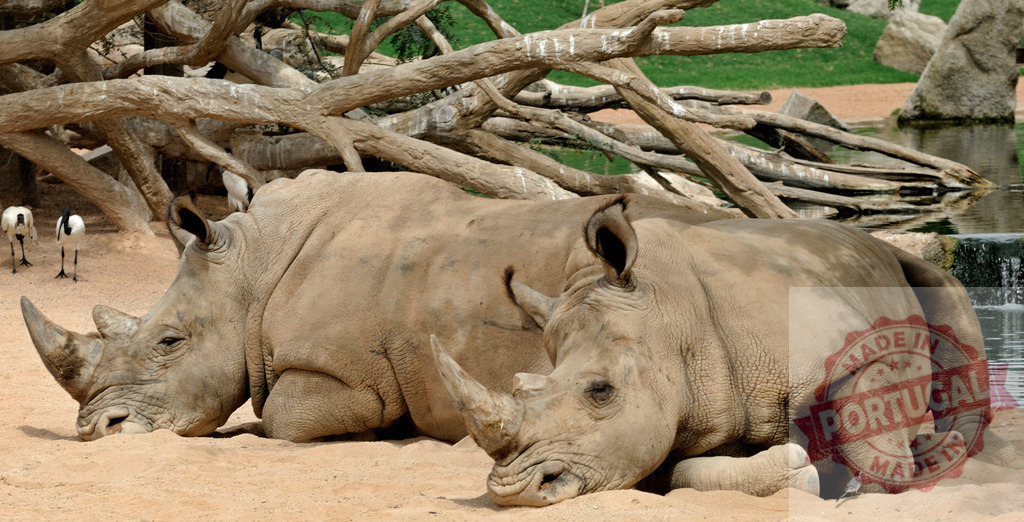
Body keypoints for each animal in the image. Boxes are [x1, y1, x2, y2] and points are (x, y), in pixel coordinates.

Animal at [429, 198, 1024, 505]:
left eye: (600, 390)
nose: (515, 491)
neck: (671, 313)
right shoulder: (658, 427)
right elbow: (684, 474)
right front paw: (801, 472)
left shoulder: (847, 342)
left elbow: (873, 436)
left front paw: (877, 480)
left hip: (902, 263)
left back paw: (944, 448)